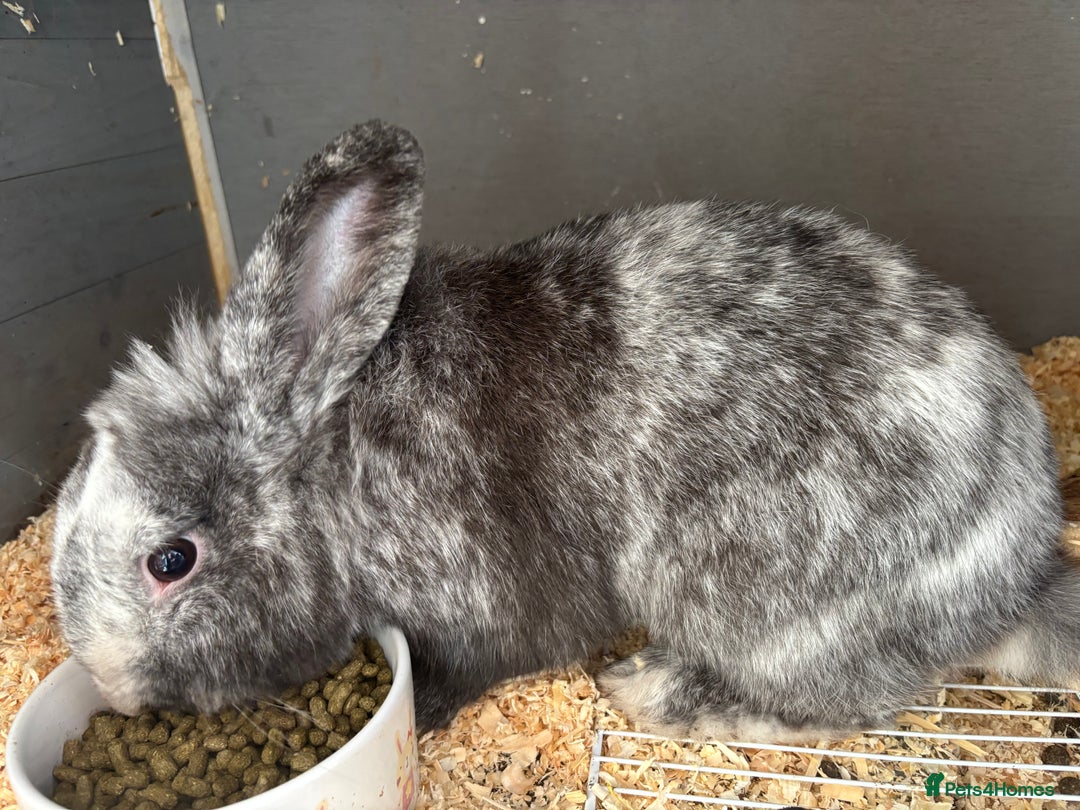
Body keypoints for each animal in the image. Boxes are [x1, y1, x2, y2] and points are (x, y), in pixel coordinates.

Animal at [50, 119, 1070, 741]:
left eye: (170, 560)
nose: (112, 687)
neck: (329, 467)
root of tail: (1019, 583)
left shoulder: (478, 606)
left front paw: (422, 715)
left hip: (764, 610)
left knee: (834, 707)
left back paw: (658, 690)